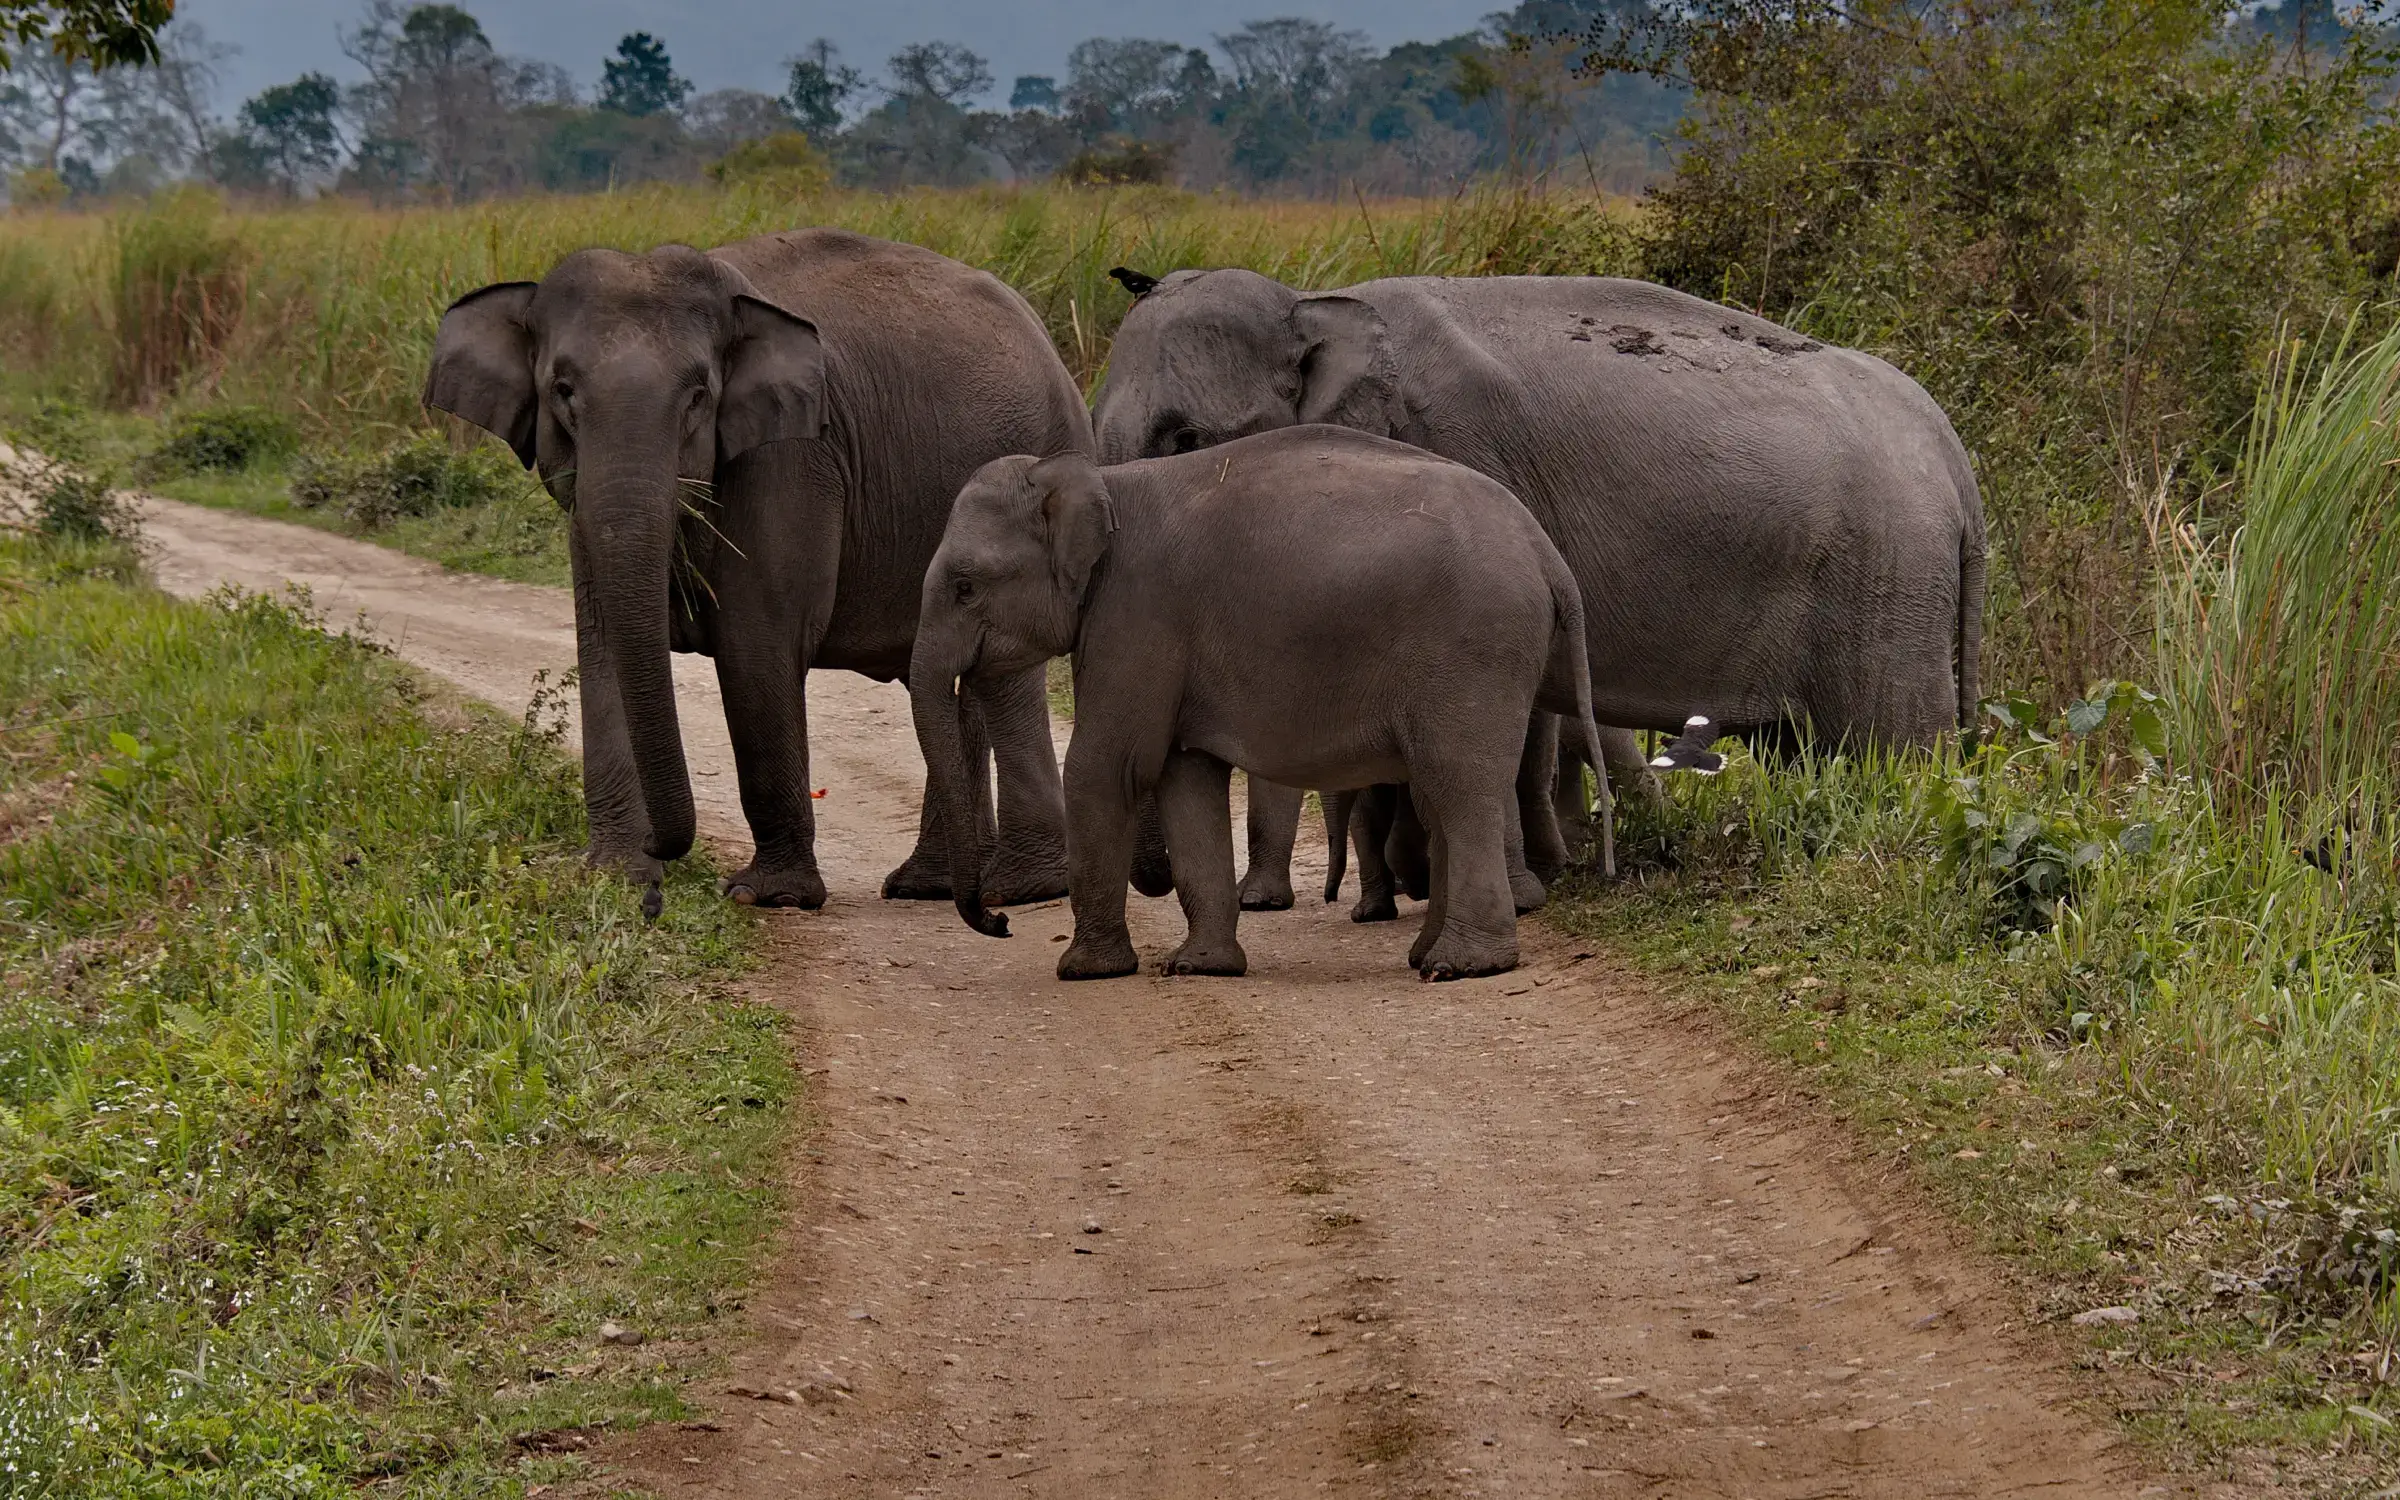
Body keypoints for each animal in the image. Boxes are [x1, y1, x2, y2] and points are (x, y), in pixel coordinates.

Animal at [424, 231, 1089, 912]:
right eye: (562, 390)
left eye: (698, 395)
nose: (665, 863)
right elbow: (603, 644)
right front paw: (614, 877)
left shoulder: (792, 459)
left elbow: (755, 646)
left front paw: (766, 896)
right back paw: (928, 887)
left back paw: (1015, 887)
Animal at [912, 422, 1612, 984]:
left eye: (965, 586)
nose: (1000, 922)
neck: (1100, 482)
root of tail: (1548, 554)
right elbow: (1184, 777)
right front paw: (1200, 968)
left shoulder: (1137, 616)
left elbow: (1106, 768)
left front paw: (1085, 972)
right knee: (1440, 791)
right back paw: (1426, 955)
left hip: (1473, 649)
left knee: (1456, 783)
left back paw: (1459, 967)